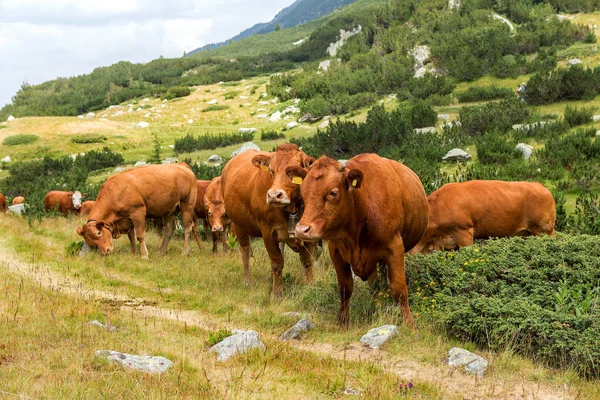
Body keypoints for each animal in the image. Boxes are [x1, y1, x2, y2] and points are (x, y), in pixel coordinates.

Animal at [221, 142, 318, 296]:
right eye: (271, 171)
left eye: (293, 172)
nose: (273, 195)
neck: (291, 209)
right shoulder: (268, 232)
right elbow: (277, 262)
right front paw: (277, 292)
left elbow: (307, 260)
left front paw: (310, 286)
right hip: (239, 225)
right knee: (245, 251)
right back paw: (246, 280)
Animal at [288, 154, 428, 328]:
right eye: (303, 191)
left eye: (333, 192)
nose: (302, 229)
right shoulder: (336, 250)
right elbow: (345, 287)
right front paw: (343, 321)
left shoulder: (395, 248)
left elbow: (399, 288)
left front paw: (410, 324)